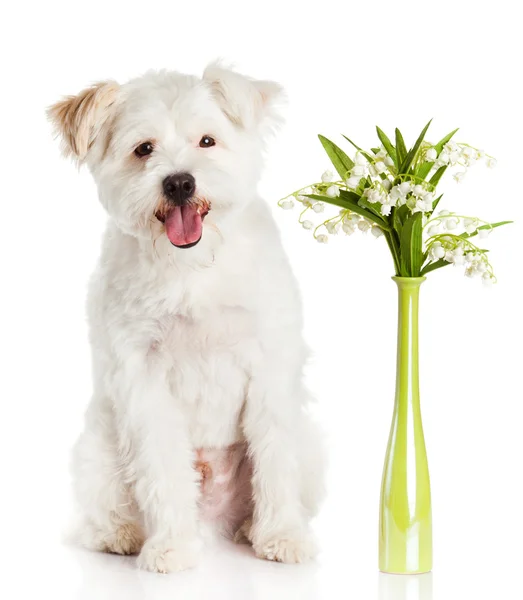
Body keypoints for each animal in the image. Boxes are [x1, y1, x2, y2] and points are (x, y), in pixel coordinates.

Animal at [48, 63, 324, 576]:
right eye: (143, 148)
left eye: (207, 141)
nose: (179, 182)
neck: (191, 267)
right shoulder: (142, 377)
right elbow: (161, 470)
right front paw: (172, 547)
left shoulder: (269, 367)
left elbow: (276, 461)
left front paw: (282, 536)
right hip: (97, 447)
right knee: (102, 513)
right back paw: (121, 535)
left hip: (312, 442)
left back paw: (251, 528)